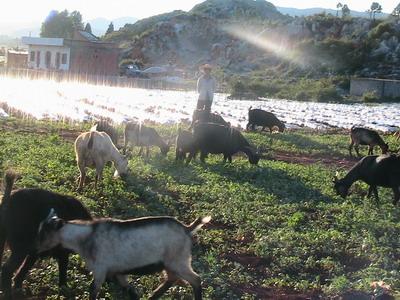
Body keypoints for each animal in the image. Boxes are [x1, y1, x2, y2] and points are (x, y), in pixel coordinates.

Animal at [0, 170, 91, 298]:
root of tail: (7, 200)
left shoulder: (35, 252)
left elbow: (23, 270)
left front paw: (19, 290)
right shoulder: (61, 251)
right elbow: (63, 269)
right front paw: (66, 291)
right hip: (20, 247)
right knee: (6, 269)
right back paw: (8, 295)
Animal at [37, 210, 211, 300]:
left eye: (44, 233)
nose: (36, 250)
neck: (87, 237)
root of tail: (187, 229)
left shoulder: (100, 269)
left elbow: (93, 289)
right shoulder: (117, 271)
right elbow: (128, 288)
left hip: (179, 260)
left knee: (195, 279)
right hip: (169, 263)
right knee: (172, 278)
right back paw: (153, 296)